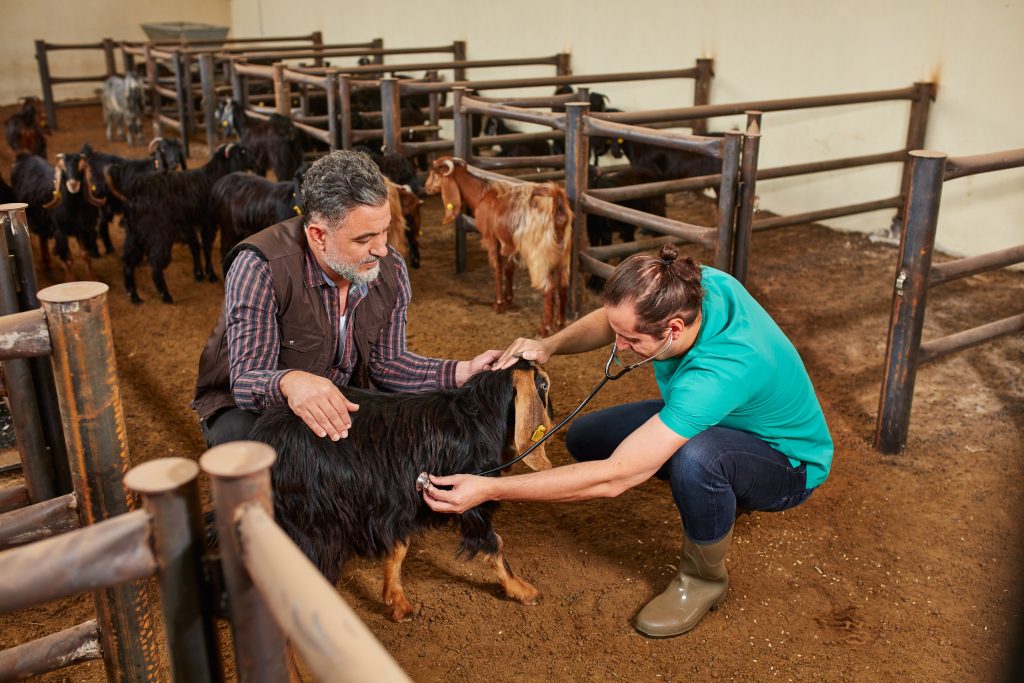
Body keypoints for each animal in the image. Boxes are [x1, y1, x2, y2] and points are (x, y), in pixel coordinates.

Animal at [120, 143, 254, 301]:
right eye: (243, 151)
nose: (255, 161)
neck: (214, 175)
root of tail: (135, 192)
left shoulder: (188, 224)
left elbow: (195, 247)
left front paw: (199, 274)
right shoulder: (207, 221)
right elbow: (206, 247)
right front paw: (211, 274)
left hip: (134, 233)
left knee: (128, 260)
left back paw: (134, 295)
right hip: (158, 233)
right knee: (155, 264)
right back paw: (165, 294)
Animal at [246, 362, 552, 626]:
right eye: (544, 384)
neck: (479, 420)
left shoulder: (400, 500)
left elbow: (399, 546)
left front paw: (398, 603)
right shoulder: (468, 500)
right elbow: (494, 543)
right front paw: (524, 591)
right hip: (313, 522)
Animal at [419, 155, 573, 335]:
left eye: (434, 172)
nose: (427, 188)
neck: (481, 194)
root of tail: (556, 201)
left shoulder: (491, 238)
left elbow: (496, 267)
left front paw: (498, 304)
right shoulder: (512, 244)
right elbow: (508, 269)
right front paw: (508, 299)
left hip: (538, 255)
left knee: (548, 288)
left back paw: (544, 328)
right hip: (564, 253)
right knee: (563, 285)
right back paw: (561, 323)